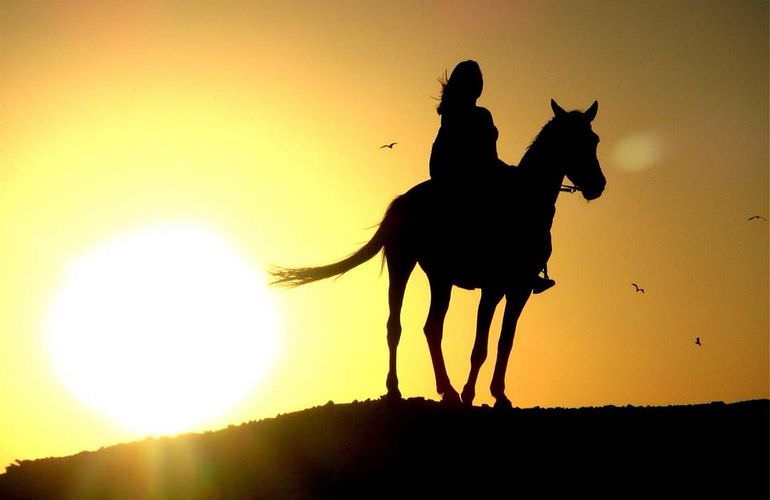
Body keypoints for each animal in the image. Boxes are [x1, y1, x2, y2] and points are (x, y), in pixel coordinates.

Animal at [272, 99, 608, 408]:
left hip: (440, 278)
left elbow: (505, 342)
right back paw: (397, 389)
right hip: (402, 263)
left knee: (432, 328)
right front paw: (471, 394)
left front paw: (499, 395)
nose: (598, 186)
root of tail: (401, 202)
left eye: (594, 140)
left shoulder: (520, 288)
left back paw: (446, 390)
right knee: (395, 326)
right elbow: (480, 346)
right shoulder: (492, 287)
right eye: (573, 140)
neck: (524, 204)